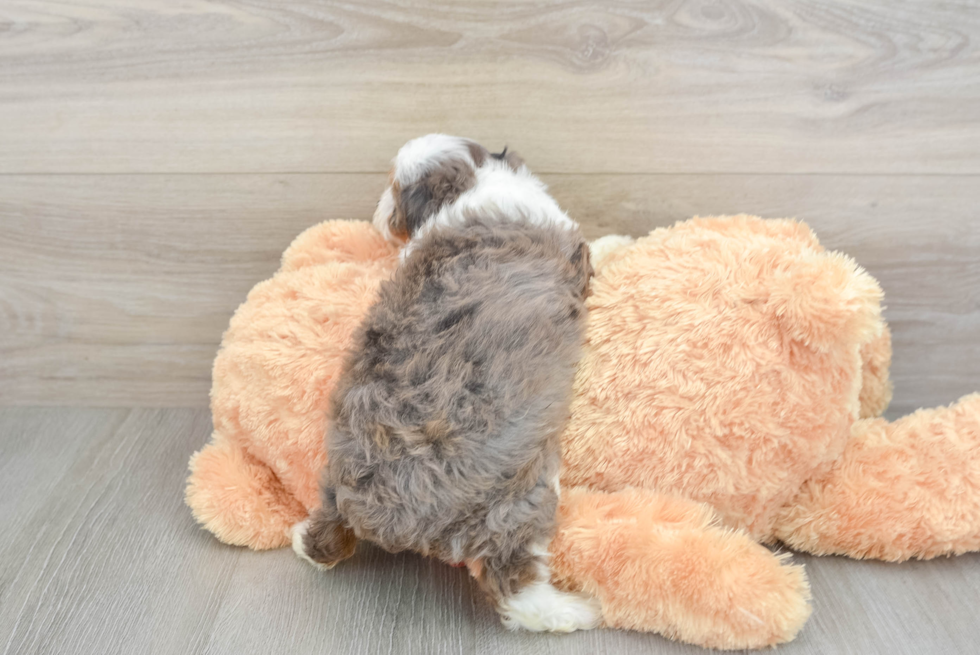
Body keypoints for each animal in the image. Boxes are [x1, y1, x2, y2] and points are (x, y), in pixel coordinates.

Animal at [290, 136, 596, 632]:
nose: (378, 211)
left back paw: (303, 537)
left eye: (393, 189)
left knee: (324, 540)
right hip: (523, 496)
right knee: (514, 581)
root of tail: (383, 512)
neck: (471, 183)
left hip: (332, 480)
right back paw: (571, 611)